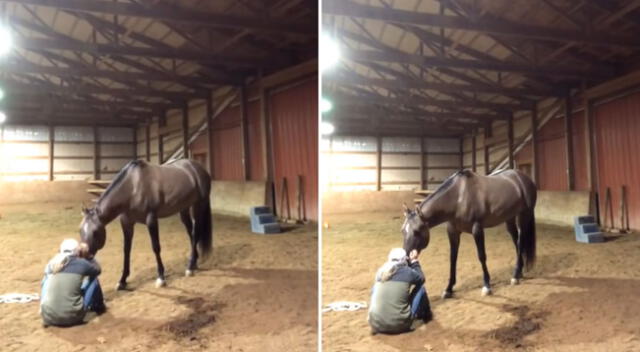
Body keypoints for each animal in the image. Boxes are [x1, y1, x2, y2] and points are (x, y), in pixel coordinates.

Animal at [79, 159, 212, 288]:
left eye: (95, 231)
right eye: (80, 230)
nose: (82, 254)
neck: (132, 187)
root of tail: (199, 168)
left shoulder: (151, 220)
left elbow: (156, 247)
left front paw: (161, 278)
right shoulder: (126, 223)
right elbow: (126, 249)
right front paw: (122, 280)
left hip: (198, 205)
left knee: (196, 233)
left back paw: (190, 267)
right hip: (183, 209)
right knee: (191, 233)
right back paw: (193, 262)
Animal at [404, 169, 536, 298]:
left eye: (416, 231)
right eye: (403, 231)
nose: (405, 258)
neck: (458, 198)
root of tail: (524, 178)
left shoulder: (477, 229)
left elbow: (481, 256)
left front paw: (487, 286)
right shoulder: (452, 232)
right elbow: (453, 258)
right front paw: (449, 289)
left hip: (524, 215)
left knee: (521, 241)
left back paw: (515, 276)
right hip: (509, 218)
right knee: (516, 240)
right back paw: (519, 271)